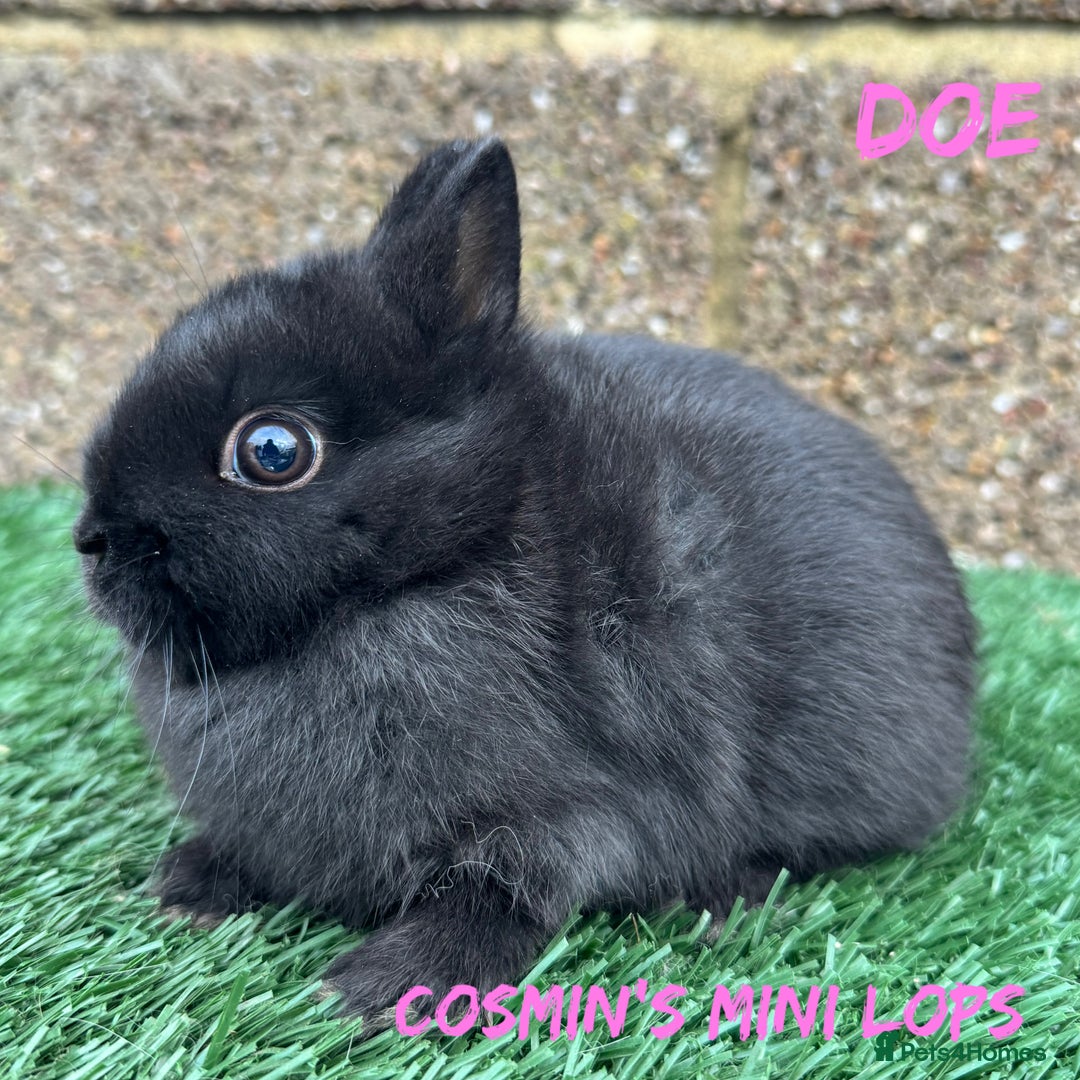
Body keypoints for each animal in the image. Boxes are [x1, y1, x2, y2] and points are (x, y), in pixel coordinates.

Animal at [74, 137, 975, 1028]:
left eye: (270, 450)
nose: (92, 540)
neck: (427, 575)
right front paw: (185, 886)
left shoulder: (570, 817)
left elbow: (503, 898)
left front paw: (375, 991)